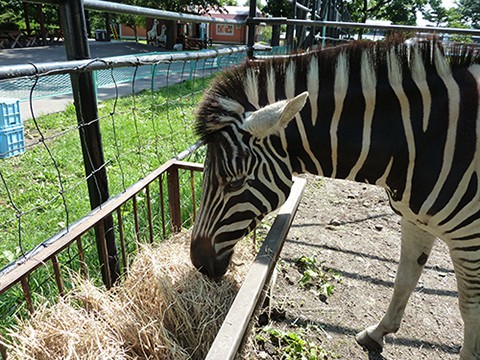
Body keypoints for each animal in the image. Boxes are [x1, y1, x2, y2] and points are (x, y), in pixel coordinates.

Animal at [189, 40, 478, 358]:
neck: (420, 140)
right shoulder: (417, 219)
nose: (198, 264)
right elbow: (404, 278)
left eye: (236, 182)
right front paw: (377, 333)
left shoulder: (468, 237)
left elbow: (469, 308)